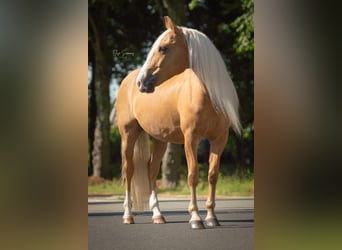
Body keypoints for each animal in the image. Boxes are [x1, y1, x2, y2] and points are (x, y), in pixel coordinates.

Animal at [115, 16, 240, 229]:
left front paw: (211, 217)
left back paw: (158, 215)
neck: (206, 95)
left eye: (163, 48)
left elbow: (212, 175)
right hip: (128, 135)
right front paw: (196, 218)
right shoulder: (191, 139)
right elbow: (193, 175)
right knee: (128, 170)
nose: (142, 83)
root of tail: (128, 80)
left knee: (151, 170)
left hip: (160, 140)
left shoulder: (219, 140)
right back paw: (128, 216)